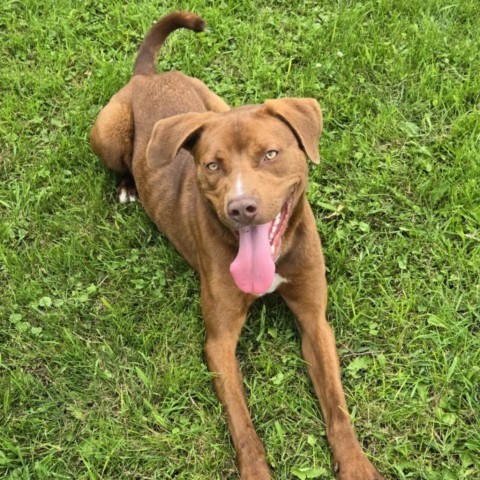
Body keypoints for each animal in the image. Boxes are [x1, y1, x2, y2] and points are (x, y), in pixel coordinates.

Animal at [90, 10, 382, 480]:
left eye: (270, 154)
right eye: (212, 165)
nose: (241, 207)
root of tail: (147, 77)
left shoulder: (315, 320)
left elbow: (337, 408)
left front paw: (356, 465)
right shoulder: (220, 340)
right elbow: (242, 424)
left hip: (215, 103)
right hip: (107, 132)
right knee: (120, 163)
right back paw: (126, 187)